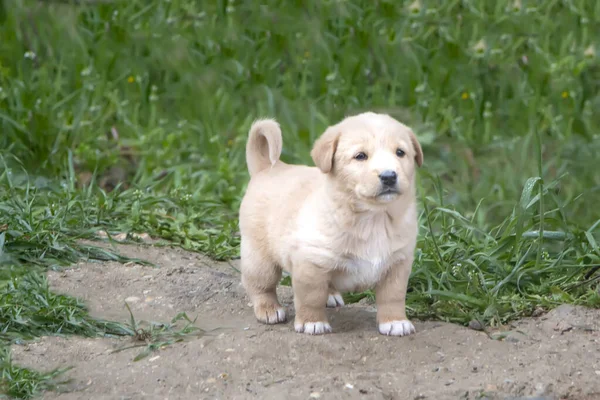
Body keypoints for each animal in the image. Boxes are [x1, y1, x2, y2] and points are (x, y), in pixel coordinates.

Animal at [237, 111, 424, 336]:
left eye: (400, 152)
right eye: (360, 156)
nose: (389, 176)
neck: (373, 218)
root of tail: (267, 168)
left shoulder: (398, 263)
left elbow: (393, 296)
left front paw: (395, 321)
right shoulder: (311, 262)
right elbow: (311, 297)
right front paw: (312, 322)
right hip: (259, 257)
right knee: (259, 285)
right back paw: (269, 309)